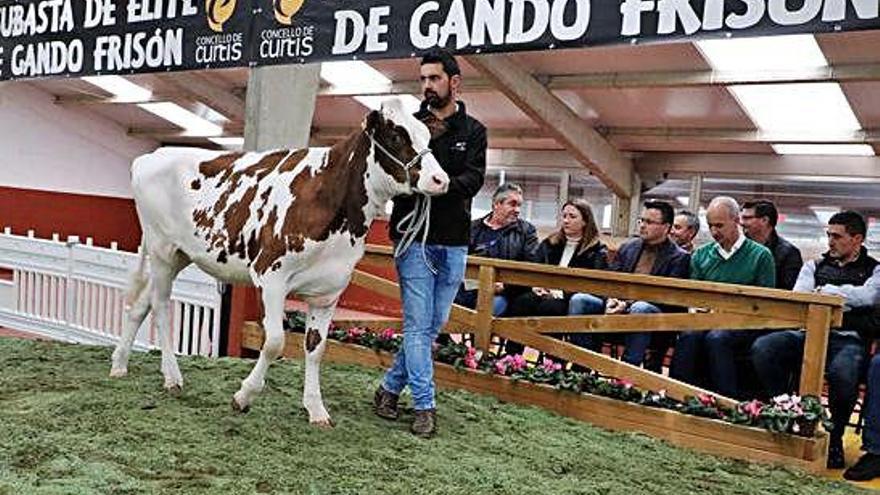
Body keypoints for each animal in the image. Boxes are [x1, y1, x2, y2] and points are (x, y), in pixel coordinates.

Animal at [111, 100, 450, 426]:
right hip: (162, 250)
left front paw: (316, 409)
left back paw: (120, 363)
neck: (330, 200)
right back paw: (172, 376)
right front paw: (244, 395)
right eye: (396, 136)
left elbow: (316, 348)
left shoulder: (329, 291)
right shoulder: (270, 275)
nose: (441, 179)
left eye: (427, 136)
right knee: (160, 307)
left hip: (179, 254)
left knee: (141, 304)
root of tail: (152, 156)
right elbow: (274, 341)